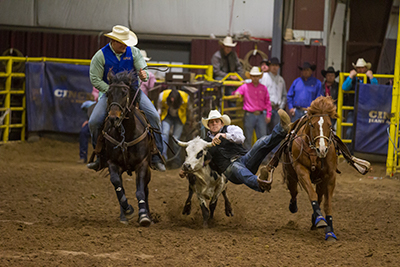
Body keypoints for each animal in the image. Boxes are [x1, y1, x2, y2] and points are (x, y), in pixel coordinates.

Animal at [282, 97, 340, 243]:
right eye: (313, 125)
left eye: (329, 125)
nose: (322, 149)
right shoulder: (301, 171)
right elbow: (312, 195)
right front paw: (320, 219)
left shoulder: (330, 176)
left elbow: (327, 204)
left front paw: (329, 231)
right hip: (291, 176)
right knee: (294, 192)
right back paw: (294, 207)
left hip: (320, 181)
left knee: (319, 196)